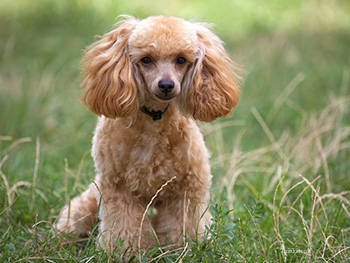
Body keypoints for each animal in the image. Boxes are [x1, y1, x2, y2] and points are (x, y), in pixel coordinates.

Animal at [56, 14, 241, 252]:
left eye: (181, 60)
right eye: (146, 60)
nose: (166, 85)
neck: (154, 120)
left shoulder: (186, 189)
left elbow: (183, 227)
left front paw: (183, 250)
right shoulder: (119, 190)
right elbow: (124, 228)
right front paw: (125, 253)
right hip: (90, 201)